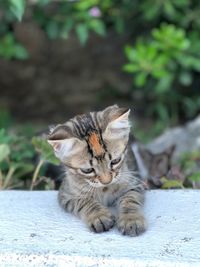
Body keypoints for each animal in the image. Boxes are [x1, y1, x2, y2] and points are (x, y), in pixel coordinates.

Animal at [47, 104, 146, 237]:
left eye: (115, 161)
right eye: (87, 170)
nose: (106, 181)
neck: (104, 189)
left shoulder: (135, 183)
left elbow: (130, 199)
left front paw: (131, 219)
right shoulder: (66, 195)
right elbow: (84, 201)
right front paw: (99, 217)